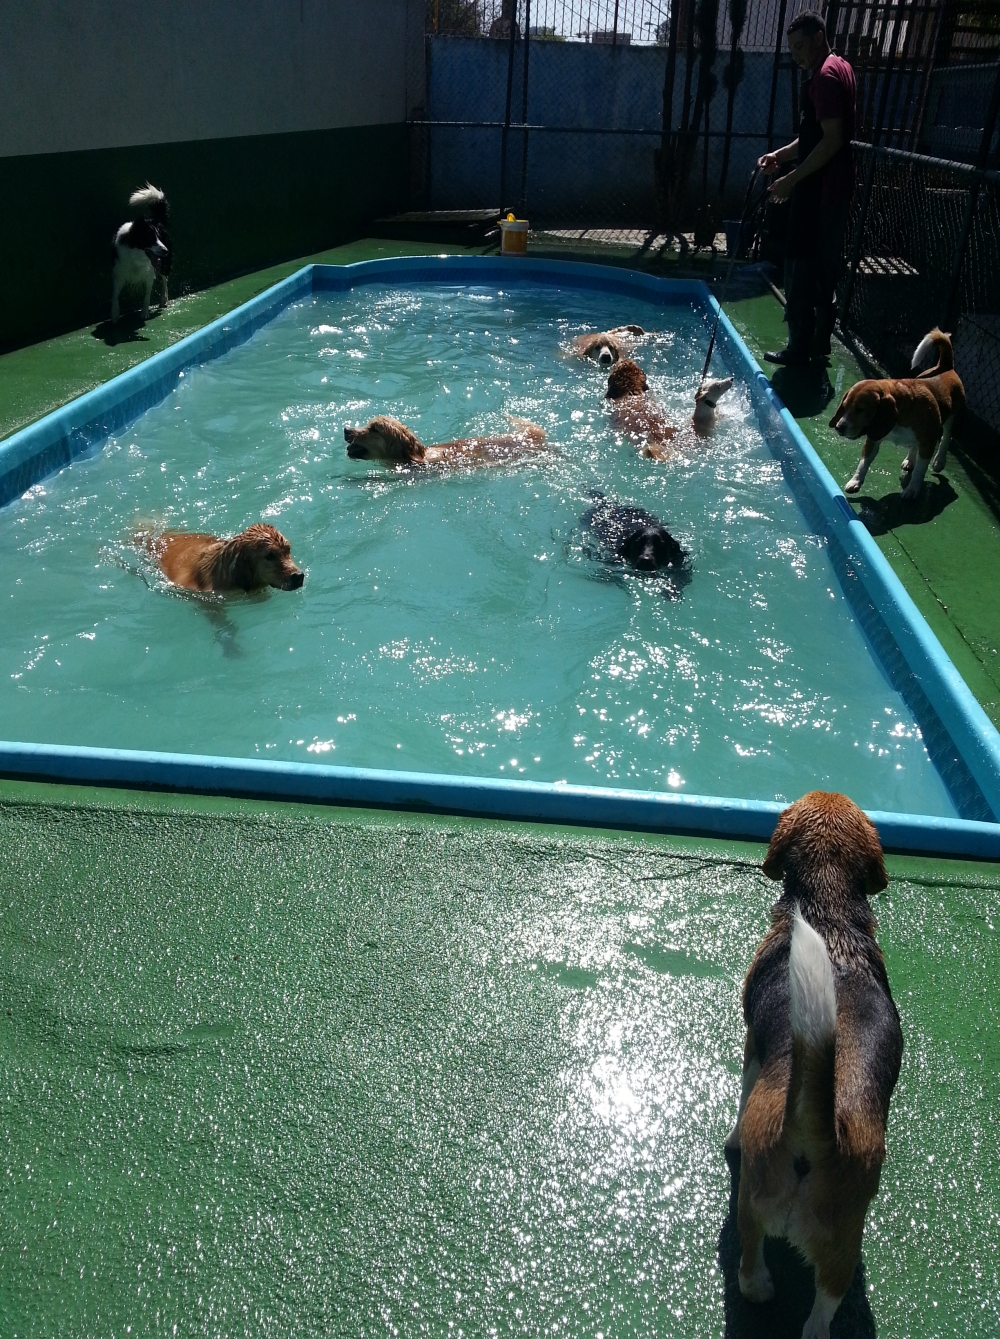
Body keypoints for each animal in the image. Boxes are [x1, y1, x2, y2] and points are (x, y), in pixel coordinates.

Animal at [111, 184, 172, 322]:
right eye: (150, 239)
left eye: (159, 237)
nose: (166, 251)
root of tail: (156, 219)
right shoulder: (119, 272)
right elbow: (115, 294)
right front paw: (115, 314)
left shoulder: (148, 274)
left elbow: (146, 295)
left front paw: (144, 313)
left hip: (164, 265)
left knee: (164, 280)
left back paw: (163, 299)